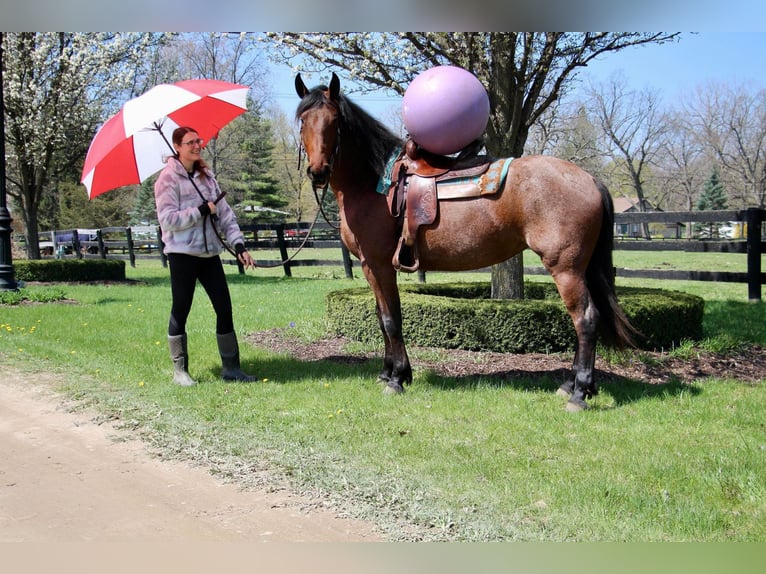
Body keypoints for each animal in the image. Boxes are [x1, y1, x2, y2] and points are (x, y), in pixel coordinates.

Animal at [294, 73, 636, 414]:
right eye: (303, 121)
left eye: (335, 121)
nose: (318, 172)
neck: (374, 184)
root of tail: (590, 179)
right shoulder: (370, 267)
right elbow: (381, 318)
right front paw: (389, 373)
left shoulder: (378, 265)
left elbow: (391, 320)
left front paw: (396, 379)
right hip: (580, 267)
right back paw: (574, 386)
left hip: (566, 268)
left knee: (585, 320)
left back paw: (578, 394)